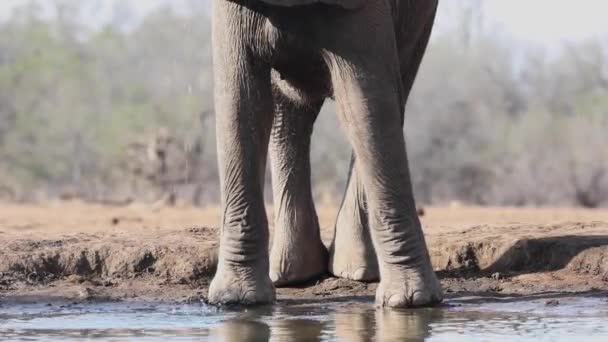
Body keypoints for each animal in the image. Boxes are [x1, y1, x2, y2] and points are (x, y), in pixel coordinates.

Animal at [209, 0, 442, 308]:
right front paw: (234, 301)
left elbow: (367, 104)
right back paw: (290, 275)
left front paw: (410, 302)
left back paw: (353, 272)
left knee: (395, 87)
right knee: (285, 107)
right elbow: (240, 101)